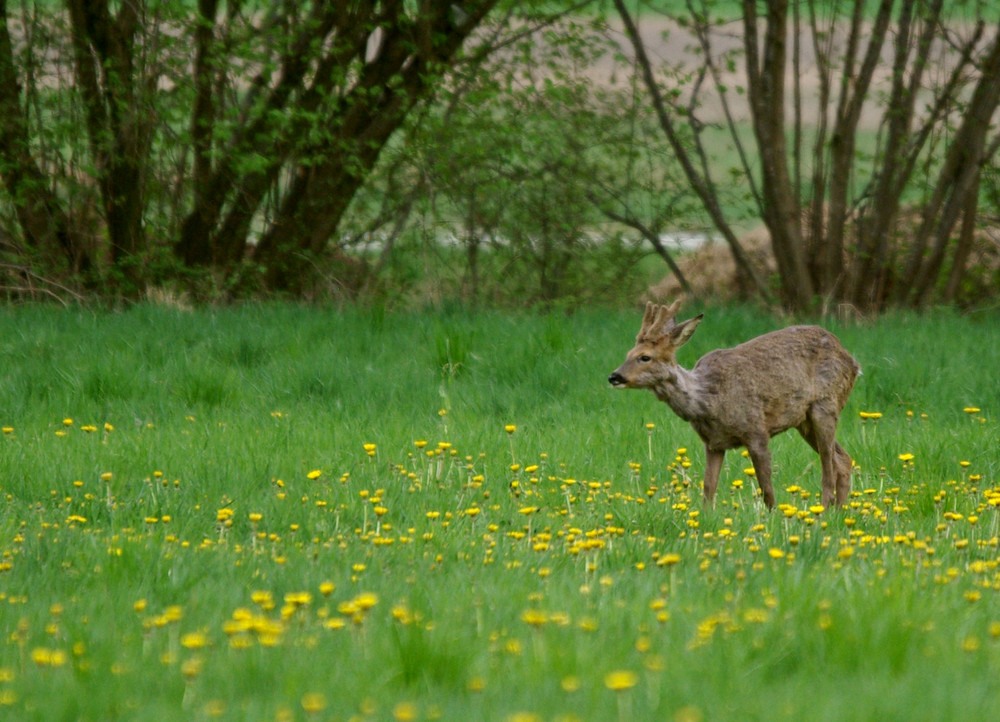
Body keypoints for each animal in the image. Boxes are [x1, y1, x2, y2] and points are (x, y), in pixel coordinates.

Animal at [604, 298, 864, 506]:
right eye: (628, 354)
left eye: (645, 357)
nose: (614, 376)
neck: (708, 399)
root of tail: (852, 362)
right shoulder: (714, 443)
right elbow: (708, 488)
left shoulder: (756, 431)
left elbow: (766, 489)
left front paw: (772, 519)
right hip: (804, 421)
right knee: (843, 460)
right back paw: (839, 511)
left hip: (825, 404)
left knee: (828, 466)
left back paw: (825, 511)